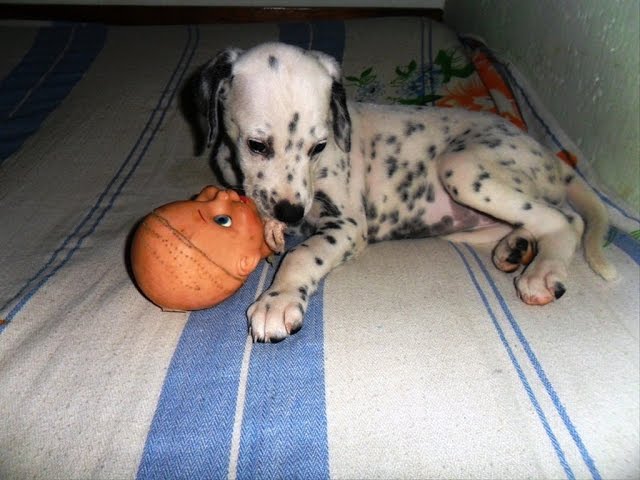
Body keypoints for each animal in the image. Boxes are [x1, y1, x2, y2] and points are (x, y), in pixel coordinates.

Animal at [195, 41, 616, 342]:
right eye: (256, 145)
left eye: (319, 146)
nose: (290, 214)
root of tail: (553, 159)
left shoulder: (347, 225)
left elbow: (301, 255)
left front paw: (277, 300)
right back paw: (515, 248)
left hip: (462, 168)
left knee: (565, 219)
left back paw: (542, 272)